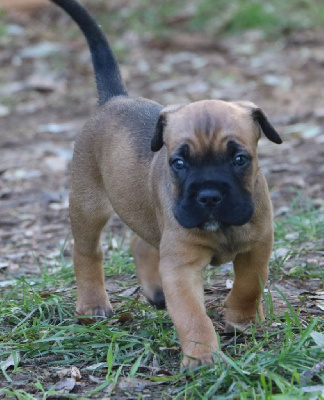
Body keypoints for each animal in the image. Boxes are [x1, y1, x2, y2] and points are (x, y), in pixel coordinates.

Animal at [49, 0, 282, 368]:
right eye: (179, 163)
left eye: (239, 159)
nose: (209, 196)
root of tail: (114, 98)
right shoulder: (181, 267)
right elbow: (191, 314)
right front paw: (202, 356)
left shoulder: (258, 244)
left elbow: (250, 284)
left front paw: (243, 318)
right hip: (87, 206)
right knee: (87, 253)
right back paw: (92, 304)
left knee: (141, 242)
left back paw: (154, 291)